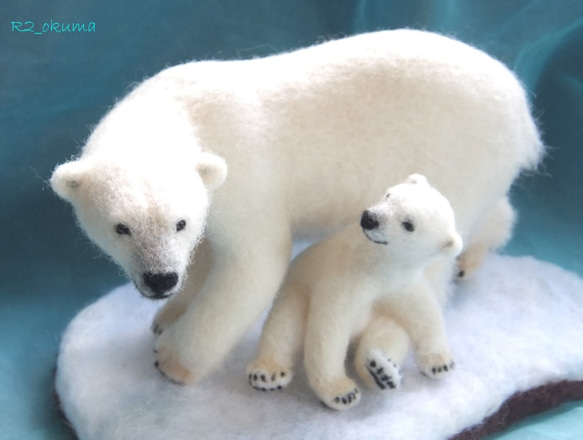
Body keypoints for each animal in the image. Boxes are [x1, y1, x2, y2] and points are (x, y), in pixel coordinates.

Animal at [50, 28, 544, 384]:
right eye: (121, 228)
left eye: (178, 222)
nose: (160, 280)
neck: (183, 109)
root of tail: (523, 113)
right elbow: (206, 256)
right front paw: (169, 314)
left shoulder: (246, 174)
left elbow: (254, 266)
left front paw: (173, 357)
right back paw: (473, 257)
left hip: (459, 154)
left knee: (427, 267)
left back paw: (380, 358)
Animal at [249, 174, 464, 410]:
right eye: (389, 195)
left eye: (408, 224)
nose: (370, 218)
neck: (378, 263)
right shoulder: (348, 277)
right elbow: (329, 329)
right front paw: (342, 393)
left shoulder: (401, 284)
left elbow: (425, 314)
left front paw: (440, 363)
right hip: (296, 292)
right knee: (284, 328)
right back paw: (268, 373)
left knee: (387, 336)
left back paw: (381, 371)